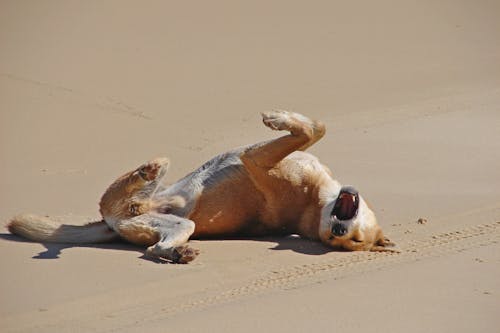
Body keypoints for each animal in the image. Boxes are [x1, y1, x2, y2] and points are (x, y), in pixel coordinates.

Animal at [5, 111, 392, 262]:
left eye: (348, 241)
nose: (339, 229)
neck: (314, 203)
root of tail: (114, 225)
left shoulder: (254, 158)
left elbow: (310, 131)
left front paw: (277, 119)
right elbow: (319, 128)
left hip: (173, 222)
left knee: (150, 243)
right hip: (171, 219)